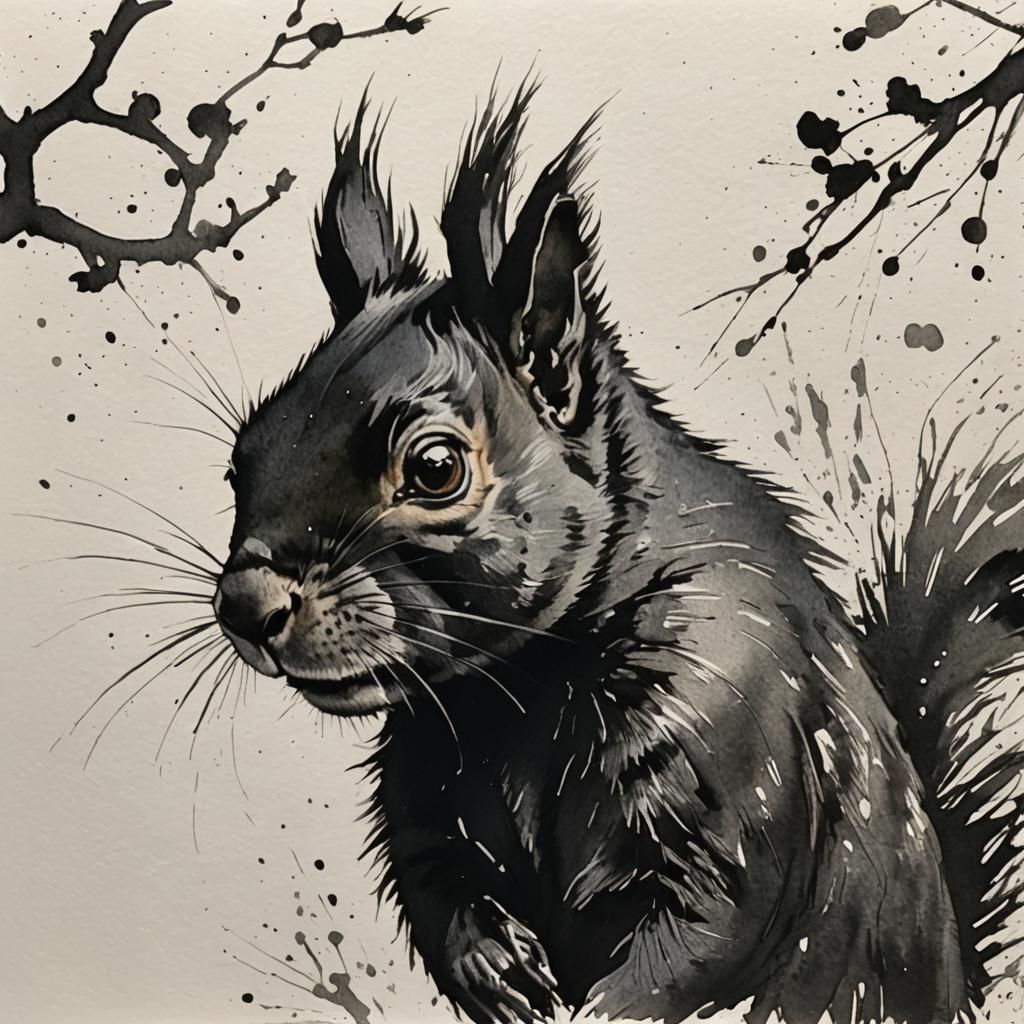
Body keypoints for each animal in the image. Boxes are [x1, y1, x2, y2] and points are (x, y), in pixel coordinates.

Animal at [212, 83, 1024, 1024]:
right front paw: (496, 967)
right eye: (242, 456)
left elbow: (710, 923)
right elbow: (436, 882)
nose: (246, 607)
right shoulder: (425, 785)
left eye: (435, 467)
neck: (515, 693)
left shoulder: (734, 727)